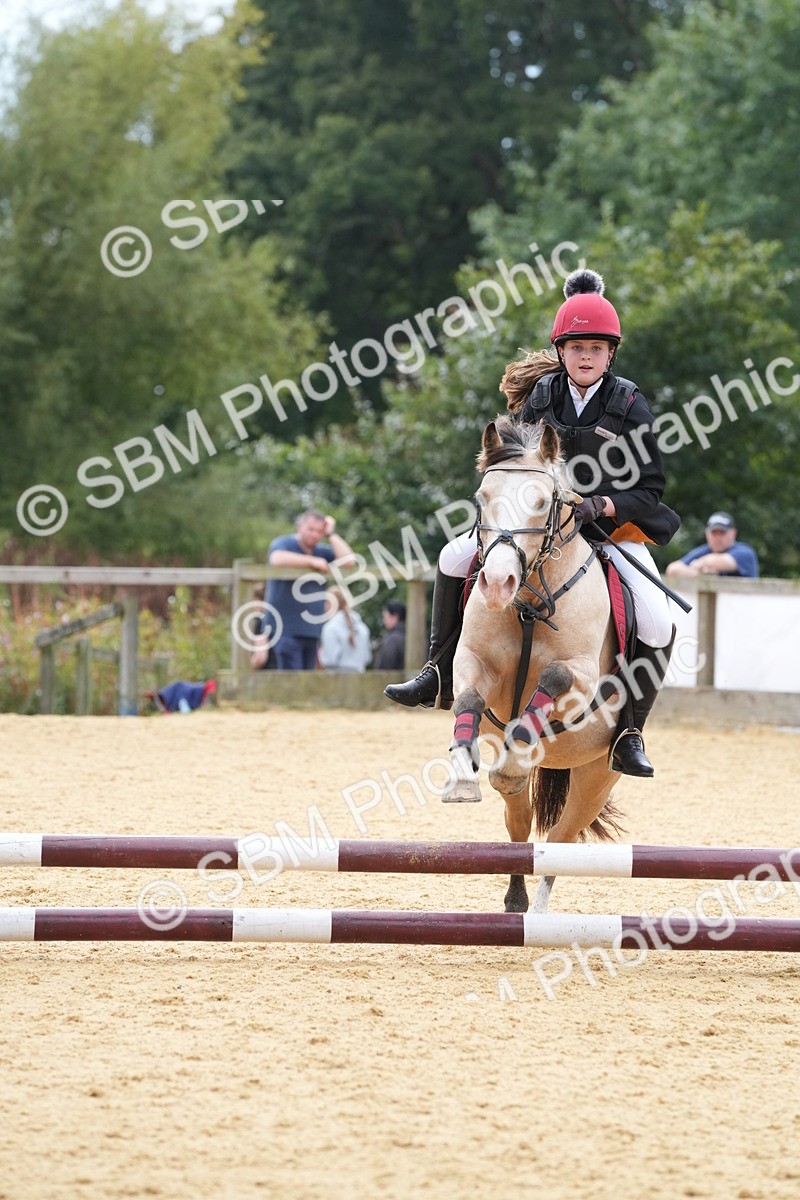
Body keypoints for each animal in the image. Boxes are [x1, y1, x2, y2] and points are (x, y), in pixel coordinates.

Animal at [442, 416, 631, 913]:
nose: (496, 584)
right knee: (519, 823)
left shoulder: (582, 678)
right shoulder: (473, 663)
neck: (528, 602)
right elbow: (468, 700)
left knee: (561, 839)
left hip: (596, 777)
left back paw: (542, 913)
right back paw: (516, 898)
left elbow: (555, 674)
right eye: (482, 498)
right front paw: (461, 778)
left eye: (543, 502)